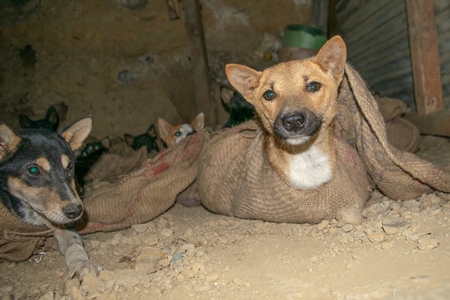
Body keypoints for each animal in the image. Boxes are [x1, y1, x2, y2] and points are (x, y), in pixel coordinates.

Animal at [0, 116, 99, 278]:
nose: (75, 211)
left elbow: (74, 243)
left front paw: (82, 263)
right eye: (33, 170)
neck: (30, 211)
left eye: (70, 166)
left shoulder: (61, 224)